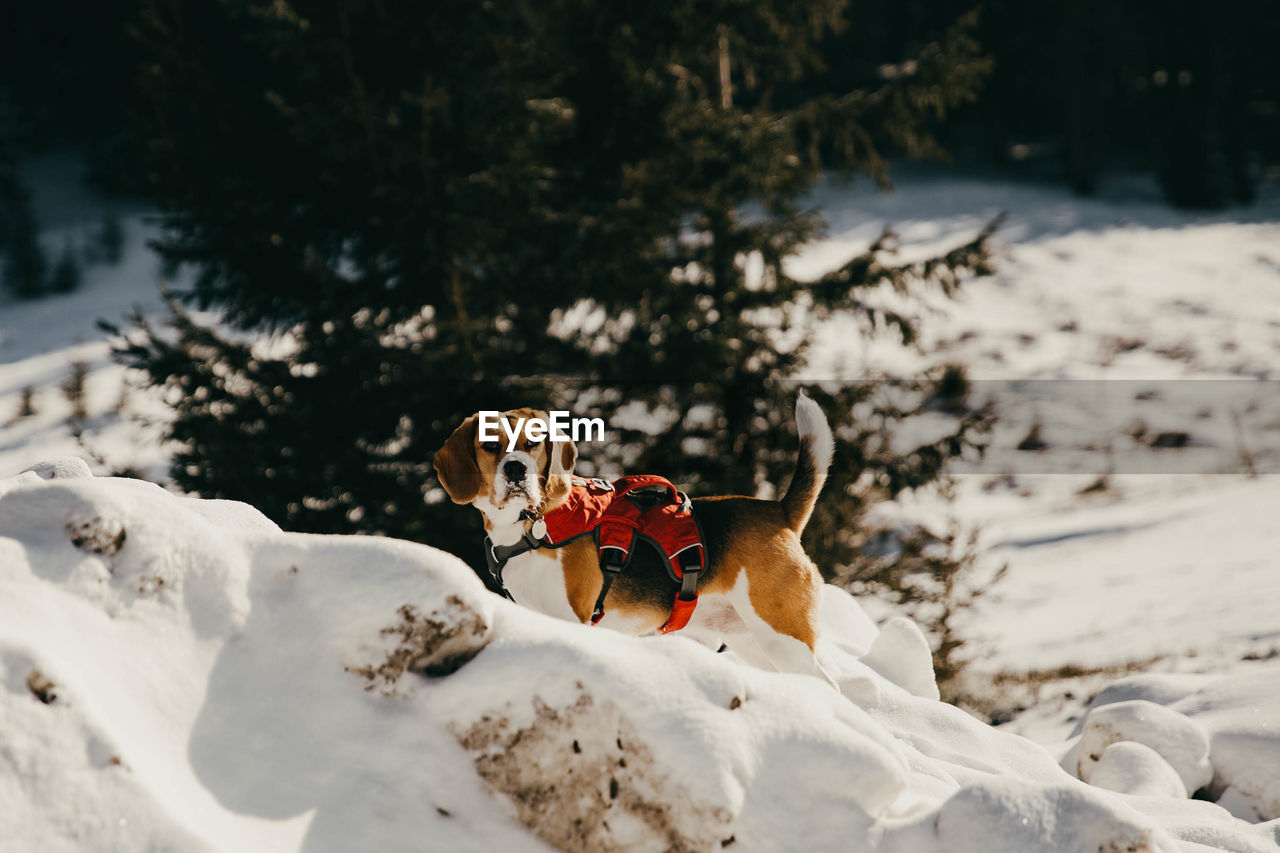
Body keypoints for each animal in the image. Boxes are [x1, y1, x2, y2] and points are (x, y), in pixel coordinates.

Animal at [437, 394, 839, 686]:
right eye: (490, 445)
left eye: (533, 442)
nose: (516, 469)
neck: (528, 524)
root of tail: (778, 511)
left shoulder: (575, 619)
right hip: (753, 640)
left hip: (781, 633)